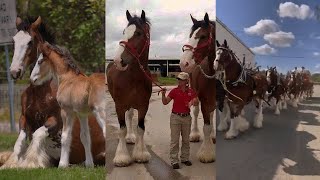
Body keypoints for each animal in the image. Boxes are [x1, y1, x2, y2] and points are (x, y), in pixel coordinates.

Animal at [0, 16, 105, 168]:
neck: (39, 91)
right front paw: (12, 164)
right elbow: (19, 142)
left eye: (30, 42)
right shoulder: (24, 118)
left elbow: (38, 135)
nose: (15, 72)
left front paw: (31, 163)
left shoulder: (56, 120)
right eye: (14, 41)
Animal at [106, 10, 152, 167]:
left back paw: (131, 137)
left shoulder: (144, 106)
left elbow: (141, 128)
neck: (133, 78)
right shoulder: (119, 106)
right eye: (124, 32)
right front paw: (122, 157)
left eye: (138, 33)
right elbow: (122, 129)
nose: (118, 60)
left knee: (131, 116)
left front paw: (141, 153)